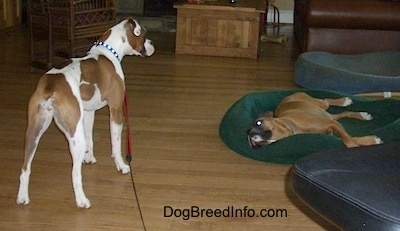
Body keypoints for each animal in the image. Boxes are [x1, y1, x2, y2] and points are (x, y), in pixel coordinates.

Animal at [17, 19, 155, 208]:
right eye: (144, 34)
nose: (152, 44)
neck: (109, 51)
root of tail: (50, 85)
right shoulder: (116, 110)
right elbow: (116, 145)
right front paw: (121, 165)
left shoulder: (89, 112)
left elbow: (91, 136)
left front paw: (89, 157)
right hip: (75, 136)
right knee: (75, 174)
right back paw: (82, 200)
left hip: (33, 132)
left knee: (25, 168)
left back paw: (22, 197)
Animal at [247, 91, 384, 148]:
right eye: (252, 142)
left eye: (258, 122)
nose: (251, 134)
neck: (292, 126)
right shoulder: (334, 128)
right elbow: (350, 138)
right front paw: (372, 140)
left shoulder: (331, 124)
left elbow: (349, 141)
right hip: (328, 115)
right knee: (343, 114)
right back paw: (362, 115)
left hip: (320, 105)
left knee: (326, 101)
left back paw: (343, 101)